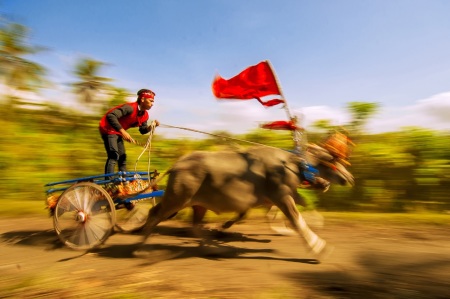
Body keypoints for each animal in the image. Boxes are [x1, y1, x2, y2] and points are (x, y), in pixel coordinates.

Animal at [135, 144, 354, 258]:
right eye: (333, 159)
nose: (349, 177)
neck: (291, 165)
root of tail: (177, 165)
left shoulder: (283, 195)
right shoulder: (281, 196)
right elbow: (296, 220)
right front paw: (318, 247)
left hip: (196, 204)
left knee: (193, 225)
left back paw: (211, 248)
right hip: (177, 199)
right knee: (155, 214)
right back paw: (142, 247)